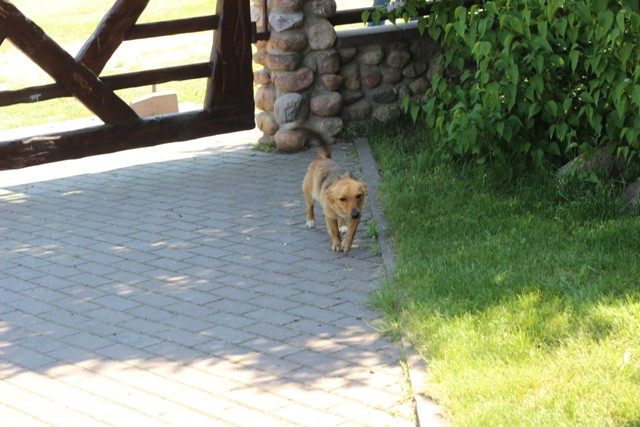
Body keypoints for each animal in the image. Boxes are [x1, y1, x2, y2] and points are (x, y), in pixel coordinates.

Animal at [294, 124, 366, 253]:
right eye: (342, 199)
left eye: (359, 196)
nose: (355, 214)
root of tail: (322, 158)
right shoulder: (329, 216)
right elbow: (334, 231)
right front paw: (337, 243)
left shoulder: (357, 213)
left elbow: (352, 231)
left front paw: (346, 242)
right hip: (309, 196)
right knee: (309, 207)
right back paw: (310, 220)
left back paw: (342, 225)